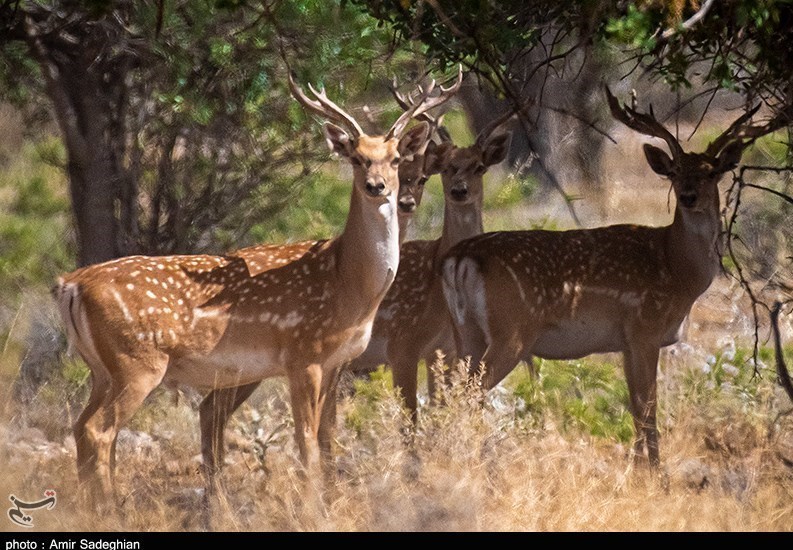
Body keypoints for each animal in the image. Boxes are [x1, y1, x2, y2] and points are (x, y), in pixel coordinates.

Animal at [52, 68, 460, 504]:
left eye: (395, 158)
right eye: (356, 157)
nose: (377, 185)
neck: (348, 285)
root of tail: (71, 284)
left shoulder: (337, 362)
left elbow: (328, 436)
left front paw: (330, 500)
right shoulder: (303, 355)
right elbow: (306, 440)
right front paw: (313, 506)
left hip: (102, 369)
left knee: (82, 428)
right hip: (137, 362)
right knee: (99, 431)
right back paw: (111, 507)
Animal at [440, 88, 784, 468]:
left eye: (711, 173)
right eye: (675, 172)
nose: (688, 196)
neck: (677, 270)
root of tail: (458, 259)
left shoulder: (625, 342)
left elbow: (635, 409)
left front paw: (637, 468)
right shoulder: (645, 328)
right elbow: (648, 409)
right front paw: (656, 473)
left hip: (464, 332)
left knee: (451, 392)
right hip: (511, 332)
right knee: (468, 394)